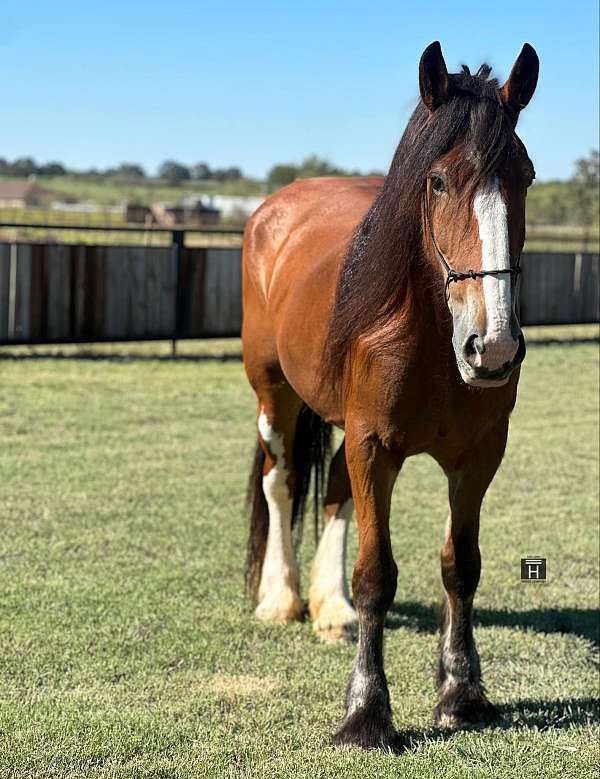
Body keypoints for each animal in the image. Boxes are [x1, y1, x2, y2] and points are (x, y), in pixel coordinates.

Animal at [241, 42, 540, 748]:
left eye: (526, 177)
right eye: (437, 181)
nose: (493, 346)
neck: (428, 331)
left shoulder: (478, 457)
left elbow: (461, 565)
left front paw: (462, 693)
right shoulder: (376, 446)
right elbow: (378, 574)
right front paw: (366, 713)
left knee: (333, 492)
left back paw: (331, 608)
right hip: (272, 392)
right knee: (281, 480)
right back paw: (282, 598)